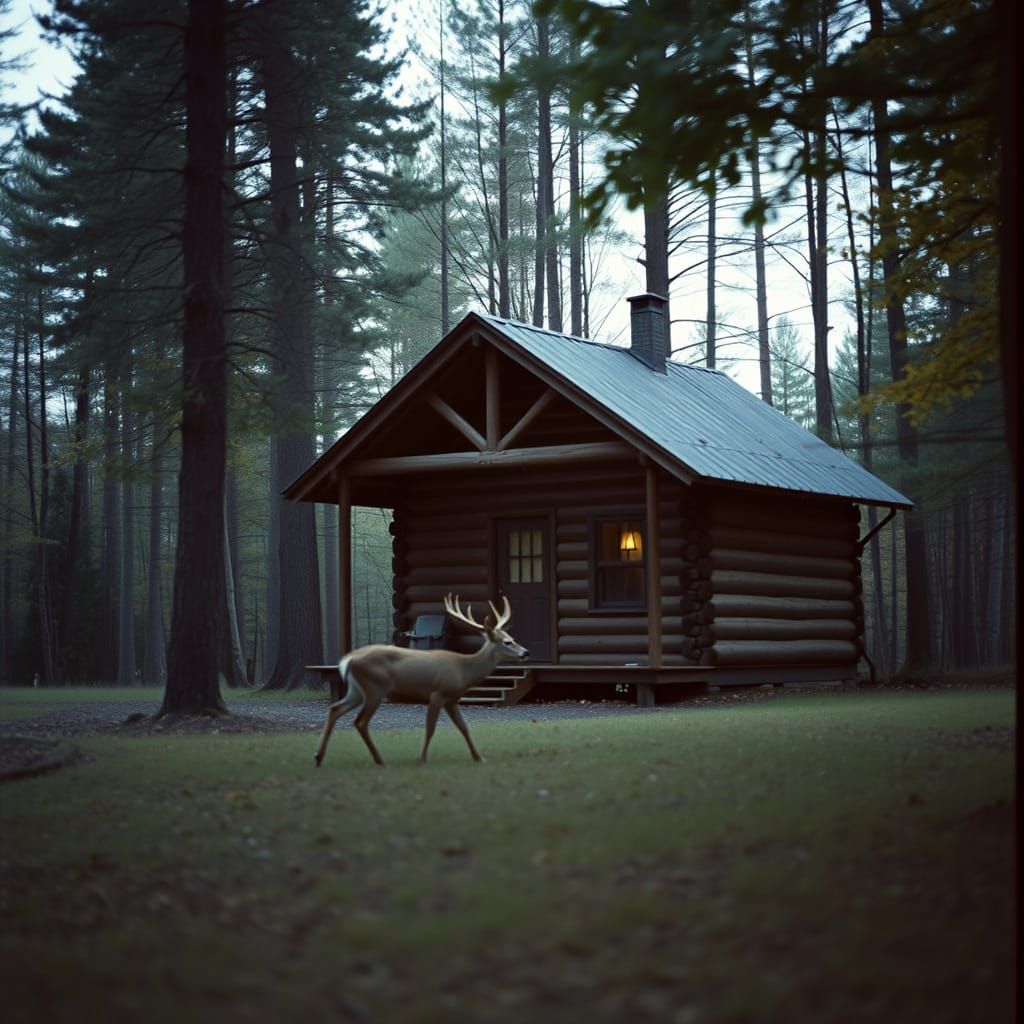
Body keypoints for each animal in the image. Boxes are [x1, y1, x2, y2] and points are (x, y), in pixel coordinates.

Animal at [313, 593, 528, 767]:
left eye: (512, 637)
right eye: (507, 642)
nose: (525, 652)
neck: (464, 670)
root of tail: (347, 660)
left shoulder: (452, 699)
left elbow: (464, 727)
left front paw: (479, 757)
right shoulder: (437, 693)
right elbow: (430, 728)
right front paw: (422, 759)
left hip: (356, 690)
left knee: (335, 709)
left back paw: (319, 757)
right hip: (375, 687)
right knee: (360, 721)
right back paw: (379, 760)